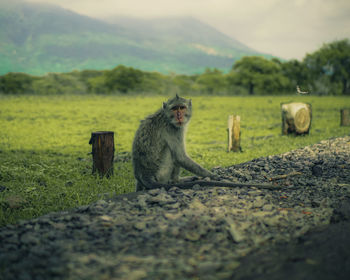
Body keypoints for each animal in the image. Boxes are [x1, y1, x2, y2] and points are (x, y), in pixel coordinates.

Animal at [131, 95, 278, 191]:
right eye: (174, 109)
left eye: (182, 107)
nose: (179, 116)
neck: (166, 116)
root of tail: (145, 175)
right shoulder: (173, 130)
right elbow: (180, 156)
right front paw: (213, 176)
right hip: (162, 172)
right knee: (171, 153)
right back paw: (176, 181)